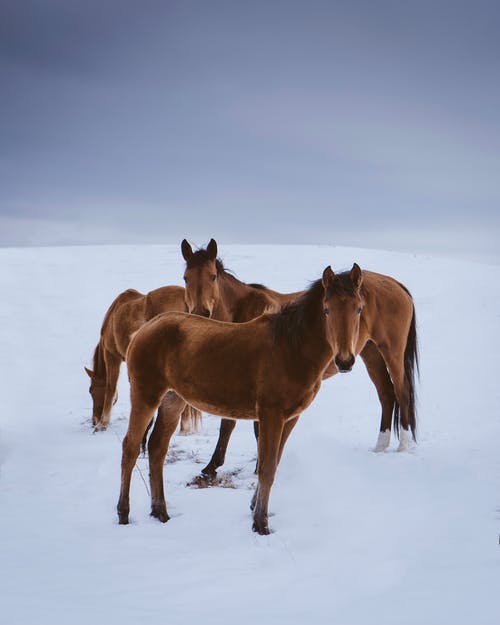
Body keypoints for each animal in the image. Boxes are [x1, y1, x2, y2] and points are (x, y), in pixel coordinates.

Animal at [117, 264, 418, 532]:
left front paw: (254, 510)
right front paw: (260, 524)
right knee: (130, 447)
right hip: (145, 395)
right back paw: (123, 513)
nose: (344, 361)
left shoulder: (290, 417)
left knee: (157, 448)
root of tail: (144, 329)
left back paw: (160, 512)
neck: (290, 348)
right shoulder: (271, 414)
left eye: (358, 309)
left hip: (173, 400)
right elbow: (267, 468)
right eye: (327, 309)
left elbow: (272, 464)